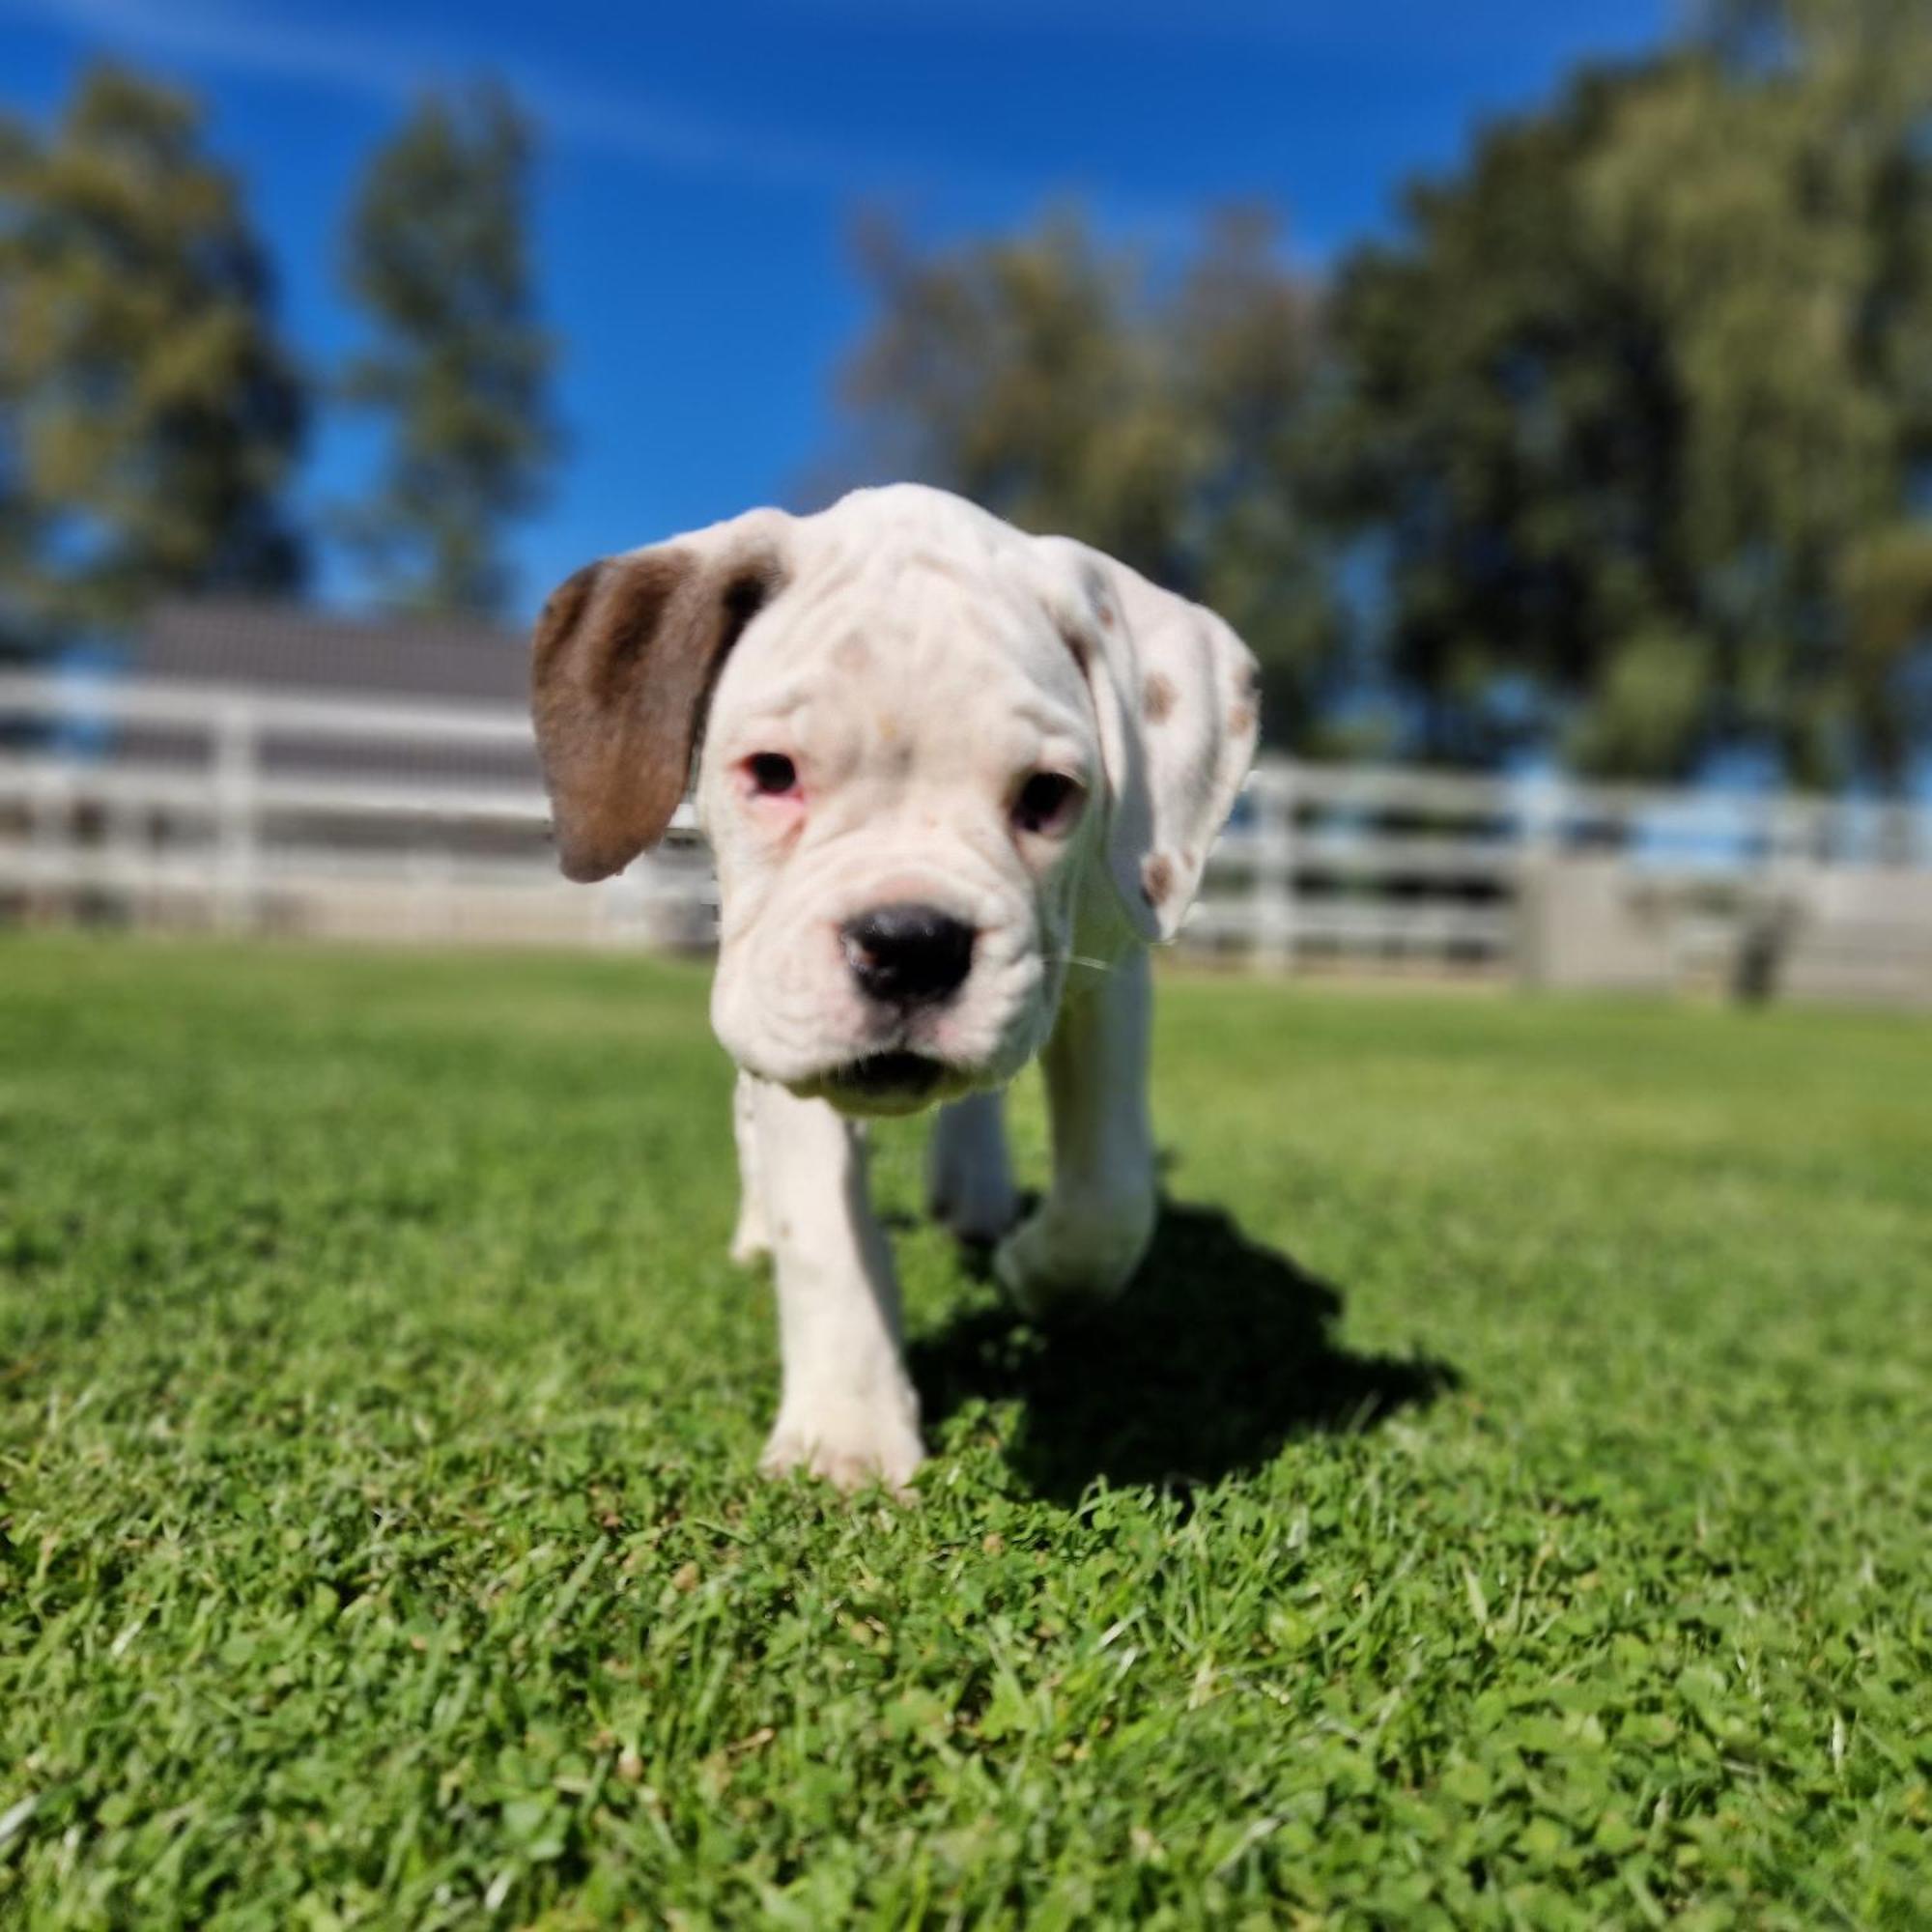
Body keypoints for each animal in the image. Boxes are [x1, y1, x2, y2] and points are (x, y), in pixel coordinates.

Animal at [533, 483, 1252, 1492]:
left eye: (1048, 795)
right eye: (773, 773)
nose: (911, 944)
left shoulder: (1109, 976)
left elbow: (1111, 1196)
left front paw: (1037, 1276)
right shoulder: (787, 1011)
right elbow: (824, 1233)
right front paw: (848, 1437)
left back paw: (978, 1200)